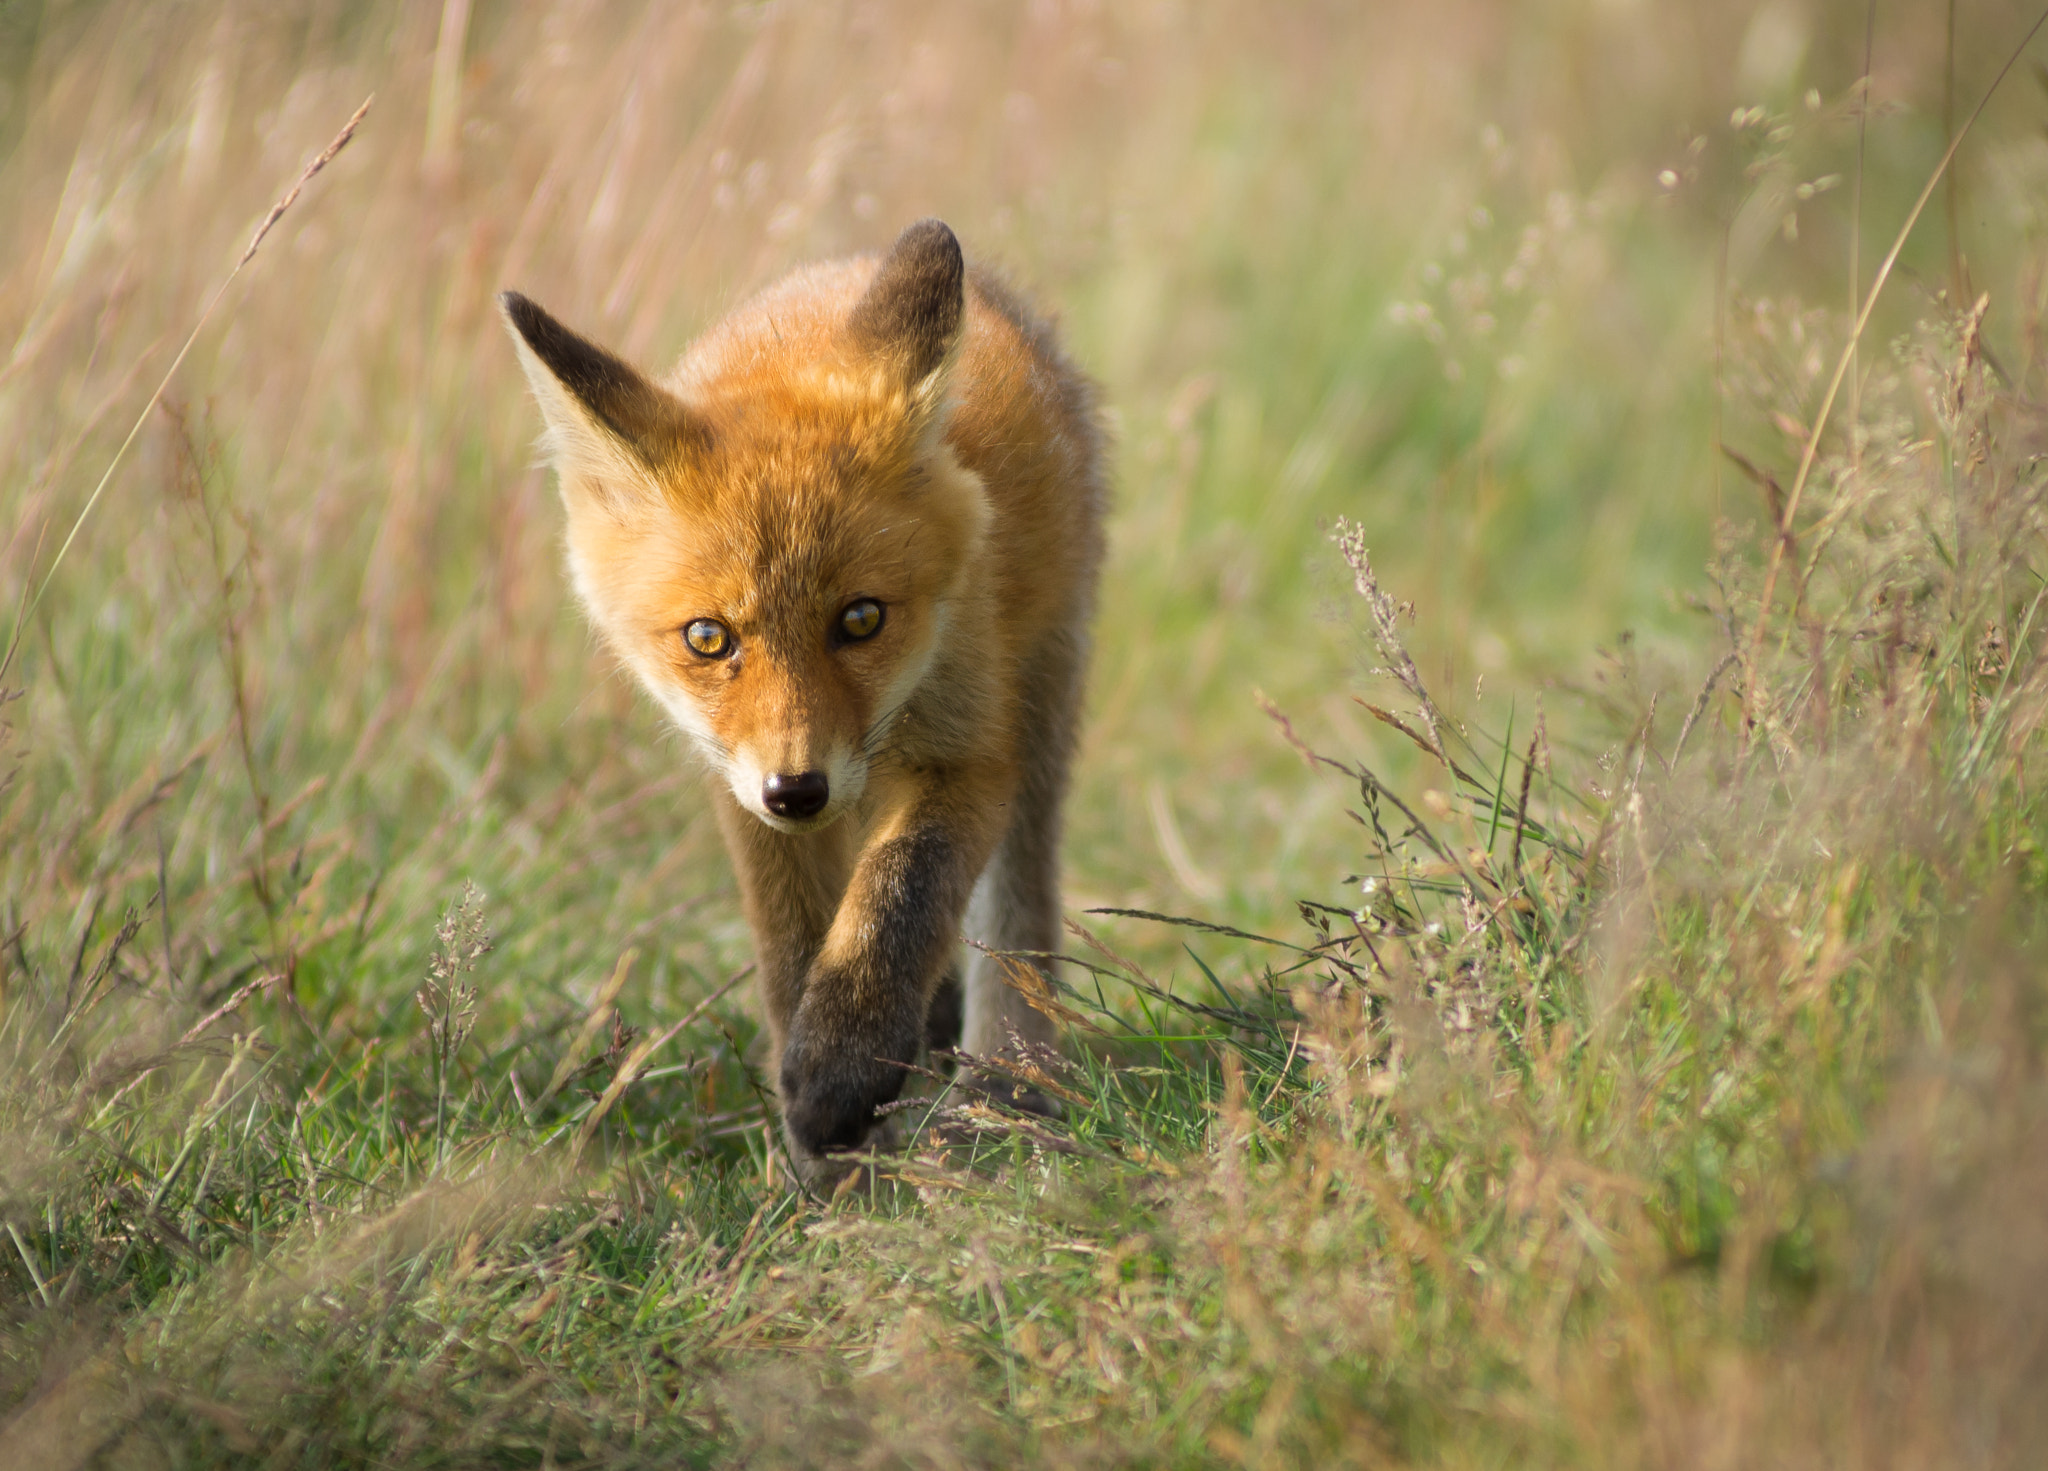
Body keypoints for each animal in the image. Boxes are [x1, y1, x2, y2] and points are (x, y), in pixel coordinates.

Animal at [501, 220, 1105, 1182]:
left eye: (861, 618)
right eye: (709, 638)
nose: (799, 790)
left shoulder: (968, 750)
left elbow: (899, 899)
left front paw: (842, 1072)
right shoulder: (741, 790)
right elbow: (793, 953)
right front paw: (827, 1165)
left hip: (1046, 694)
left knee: (1020, 912)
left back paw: (1008, 1088)